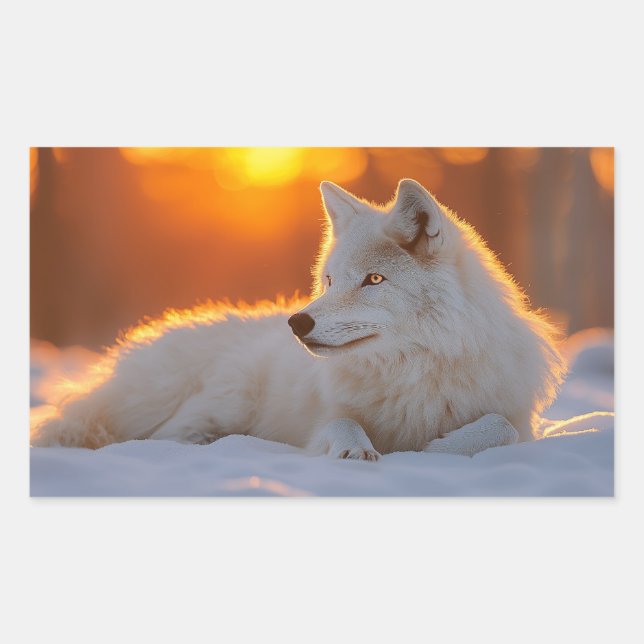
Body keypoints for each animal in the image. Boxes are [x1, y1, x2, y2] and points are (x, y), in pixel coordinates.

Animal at [31, 179, 566, 459]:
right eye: (329, 281)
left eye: (373, 280)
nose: (297, 323)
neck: (413, 374)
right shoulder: (325, 419)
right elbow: (341, 424)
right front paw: (355, 451)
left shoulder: (518, 419)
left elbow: (501, 426)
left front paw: (439, 449)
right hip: (225, 398)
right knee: (163, 437)